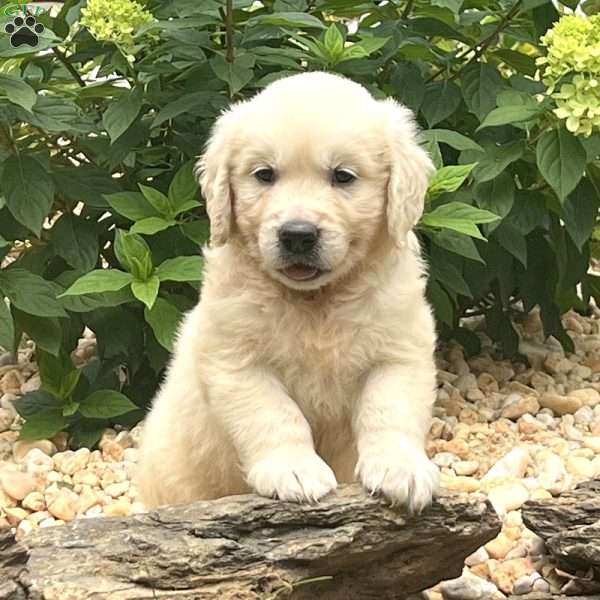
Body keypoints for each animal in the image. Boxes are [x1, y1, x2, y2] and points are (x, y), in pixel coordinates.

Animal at [139, 69, 440, 510]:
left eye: (342, 176)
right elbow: (274, 415)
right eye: (264, 174)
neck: (316, 302)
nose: (297, 235)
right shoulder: (237, 360)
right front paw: (295, 471)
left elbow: (388, 411)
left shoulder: (398, 352)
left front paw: (402, 470)